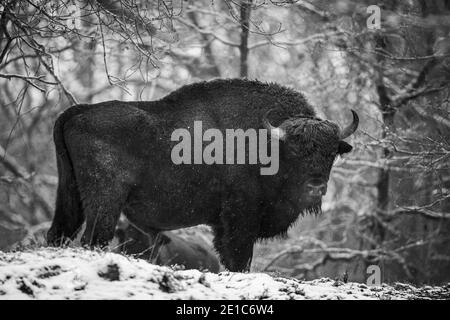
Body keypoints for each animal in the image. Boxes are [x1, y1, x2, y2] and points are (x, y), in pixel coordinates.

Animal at [47, 79, 358, 272]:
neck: (269, 143)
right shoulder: (240, 218)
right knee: (94, 238)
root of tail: (78, 112)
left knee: (59, 232)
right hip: (105, 201)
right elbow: (239, 257)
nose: (315, 187)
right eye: (294, 151)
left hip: (70, 195)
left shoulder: (223, 225)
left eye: (331, 153)